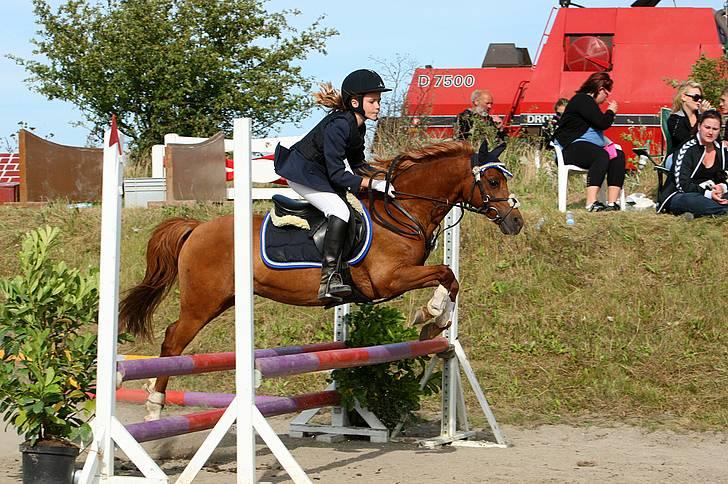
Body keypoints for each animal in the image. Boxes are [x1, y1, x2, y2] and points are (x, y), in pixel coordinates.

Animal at [119, 139, 523, 420]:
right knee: (173, 340)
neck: (403, 209)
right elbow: (445, 274)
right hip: (202, 303)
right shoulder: (389, 279)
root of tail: (196, 227)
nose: (516, 222)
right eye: (491, 180)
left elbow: (451, 278)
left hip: (223, 300)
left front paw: (435, 324)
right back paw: (154, 405)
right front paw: (431, 315)